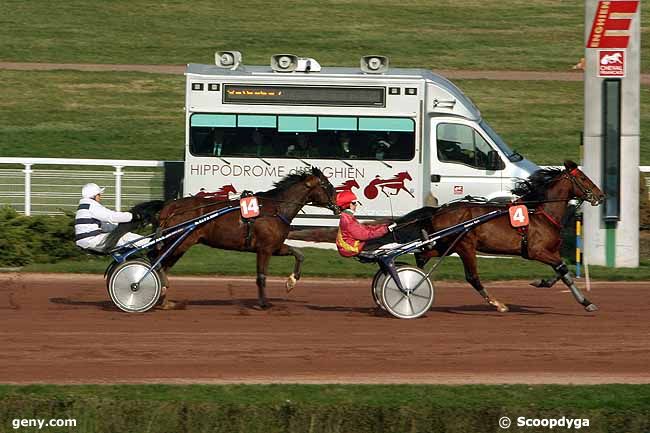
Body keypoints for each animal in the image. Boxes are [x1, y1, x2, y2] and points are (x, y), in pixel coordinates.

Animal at [149, 166, 336, 308]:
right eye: (327, 185)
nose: (339, 204)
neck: (275, 209)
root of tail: (170, 206)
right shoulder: (264, 249)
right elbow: (261, 276)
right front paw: (264, 303)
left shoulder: (274, 247)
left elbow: (299, 254)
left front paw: (291, 282)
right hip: (180, 241)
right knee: (156, 261)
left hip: (180, 244)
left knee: (162, 263)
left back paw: (163, 299)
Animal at [390, 160, 604, 312]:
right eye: (583, 178)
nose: (601, 196)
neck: (542, 213)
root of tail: (439, 210)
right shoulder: (536, 251)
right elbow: (563, 269)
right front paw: (586, 302)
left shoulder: (551, 251)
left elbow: (562, 272)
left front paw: (543, 283)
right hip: (465, 246)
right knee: (472, 277)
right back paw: (497, 303)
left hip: (447, 245)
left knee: (422, 254)